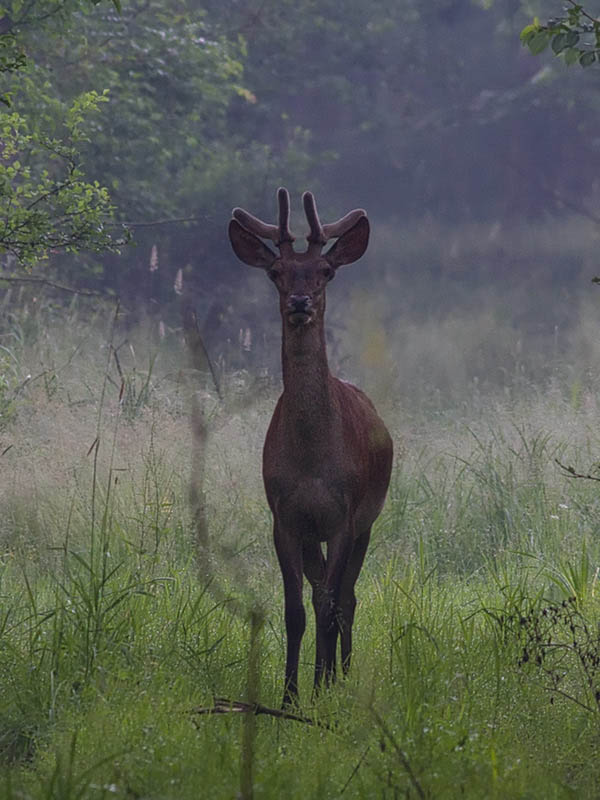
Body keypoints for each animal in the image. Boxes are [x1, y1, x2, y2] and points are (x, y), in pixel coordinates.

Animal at [227, 188, 392, 708]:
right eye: (276, 271)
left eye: (325, 271)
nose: (300, 302)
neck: (313, 462)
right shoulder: (285, 517)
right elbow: (295, 608)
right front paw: (289, 696)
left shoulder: (344, 514)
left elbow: (329, 602)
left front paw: (320, 688)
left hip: (368, 520)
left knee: (347, 597)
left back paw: (342, 673)